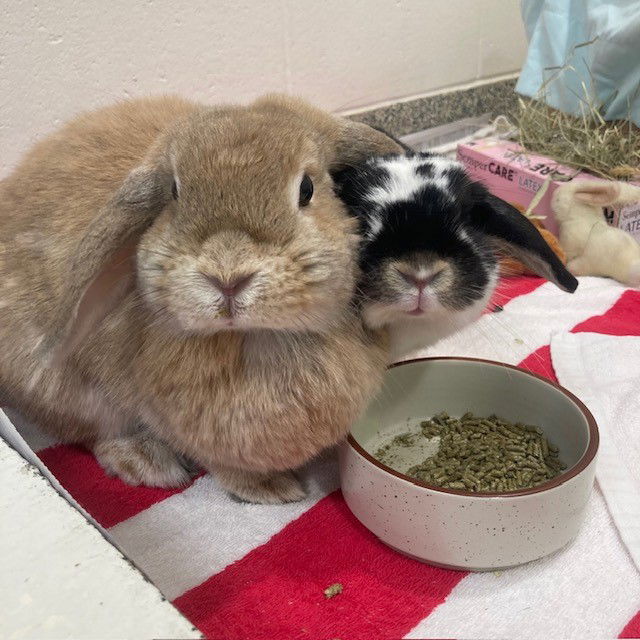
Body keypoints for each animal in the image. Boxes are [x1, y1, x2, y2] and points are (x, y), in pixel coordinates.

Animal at [0, 96, 400, 504]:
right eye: (174, 192)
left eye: (307, 189)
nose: (227, 277)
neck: (253, 339)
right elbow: (224, 467)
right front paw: (273, 491)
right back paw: (146, 462)